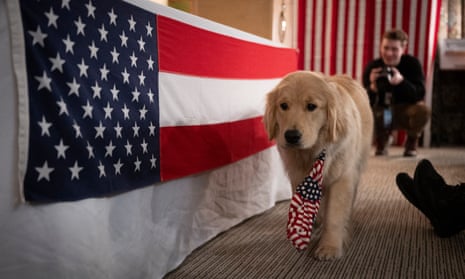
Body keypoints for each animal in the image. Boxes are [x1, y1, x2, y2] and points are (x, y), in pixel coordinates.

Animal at [262, 71, 372, 262]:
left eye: (311, 106)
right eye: (283, 106)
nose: (291, 136)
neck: (313, 151)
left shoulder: (342, 178)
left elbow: (334, 216)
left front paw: (330, 246)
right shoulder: (298, 176)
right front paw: (313, 222)